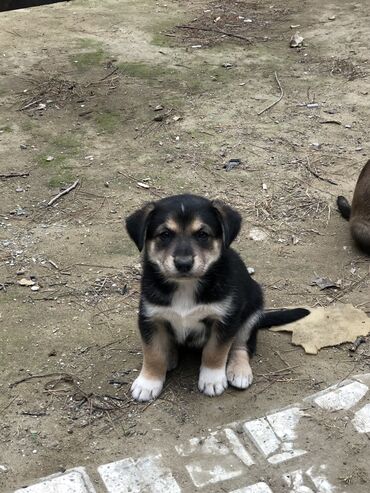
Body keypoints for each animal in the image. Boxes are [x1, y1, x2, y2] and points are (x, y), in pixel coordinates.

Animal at [125, 193, 310, 400]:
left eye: (202, 234)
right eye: (164, 235)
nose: (183, 263)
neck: (186, 286)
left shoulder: (225, 318)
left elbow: (215, 351)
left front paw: (212, 380)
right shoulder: (151, 318)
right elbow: (153, 353)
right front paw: (148, 382)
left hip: (252, 311)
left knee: (242, 345)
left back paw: (239, 371)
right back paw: (170, 355)